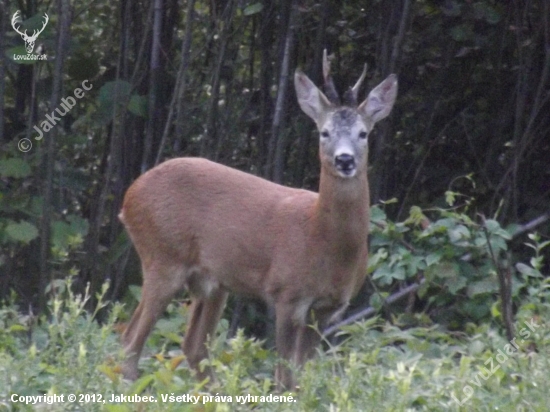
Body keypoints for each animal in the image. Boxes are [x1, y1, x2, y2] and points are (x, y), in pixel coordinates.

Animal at [121, 58, 398, 390]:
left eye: (363, 133)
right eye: (324, 132)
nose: (344, 160)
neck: (321, 238)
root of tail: (129, 196)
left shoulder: (328, 308)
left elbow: (302, 374)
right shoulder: (287, 293)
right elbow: (284, 375)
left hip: (212, 282)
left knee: (193, 345)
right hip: (162, 256)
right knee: (131, 340)